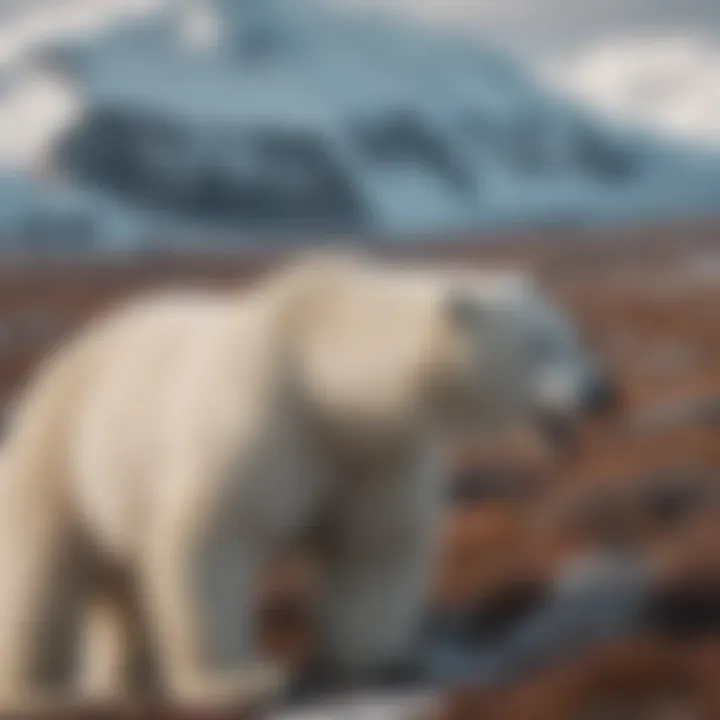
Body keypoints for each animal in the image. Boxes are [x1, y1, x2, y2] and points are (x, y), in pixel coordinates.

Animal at [0, 252, 612, 708]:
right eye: (538, 344)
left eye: (572, 335)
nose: (600, 391)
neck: (326, 379)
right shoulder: (264, 420)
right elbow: (215, 536)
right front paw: (237, 680)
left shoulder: (374, 453)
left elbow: (375, 548)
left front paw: (379, 658)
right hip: (64, 448)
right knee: (44, 569)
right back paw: (41, 689)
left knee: (125, 579)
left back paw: (129, 677)